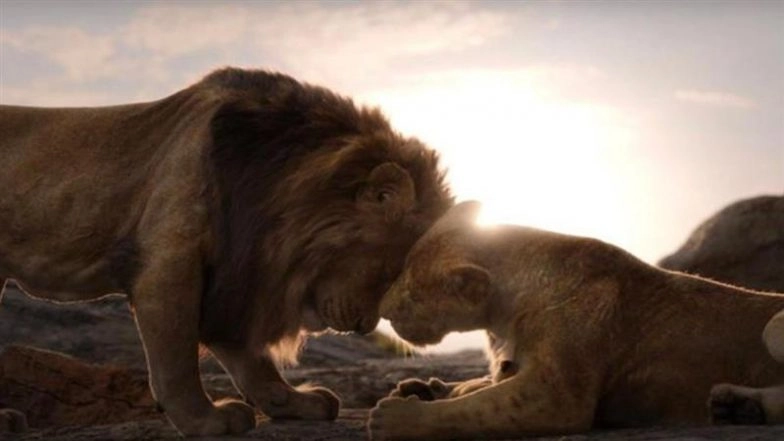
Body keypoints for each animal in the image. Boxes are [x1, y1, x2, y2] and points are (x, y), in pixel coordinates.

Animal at [0, 67, 452, 436]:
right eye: (393, 272)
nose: (364, 326)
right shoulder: (170, 263)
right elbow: (176, 361)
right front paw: (205, 420)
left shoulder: (235, 280)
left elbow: (252, 361)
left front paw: (294, 402)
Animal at [368, 201, 784, 440]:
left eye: (411, 292)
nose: (382, 310)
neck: (502, 316)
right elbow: (478, 388)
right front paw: (425, 387)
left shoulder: (558, 396)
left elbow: (477, 409)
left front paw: (396, 417)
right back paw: (736, 407)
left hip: (773, 326)